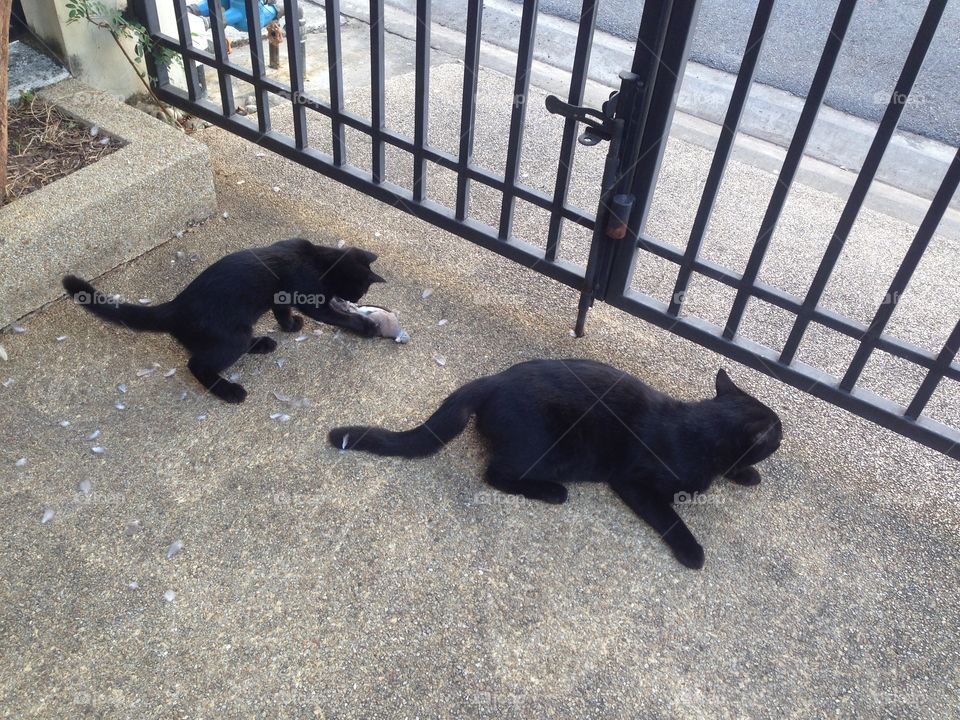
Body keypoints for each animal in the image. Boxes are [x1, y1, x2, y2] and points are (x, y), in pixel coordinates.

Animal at [61, 239, 386, 402]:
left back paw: (264, 343)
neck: (318, 258)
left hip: (237, 331)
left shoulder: (280, 297)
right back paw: (230, 392)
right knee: (197, 364)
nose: (358, 298)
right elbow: (336, 317)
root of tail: (175, 308)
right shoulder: (311, 298)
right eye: (362, 290)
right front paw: (367, 327)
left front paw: (289, 326)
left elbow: (281, 311)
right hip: (232, 338)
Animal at [330, 358, 780, 568]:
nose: (783, 434)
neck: (698, 431)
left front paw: (748, 474)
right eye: (777, 433)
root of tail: (492, 380)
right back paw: (552, 493)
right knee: (496, 473)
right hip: (554, 449)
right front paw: (692, 551)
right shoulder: (635, 483)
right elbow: (670, 517)